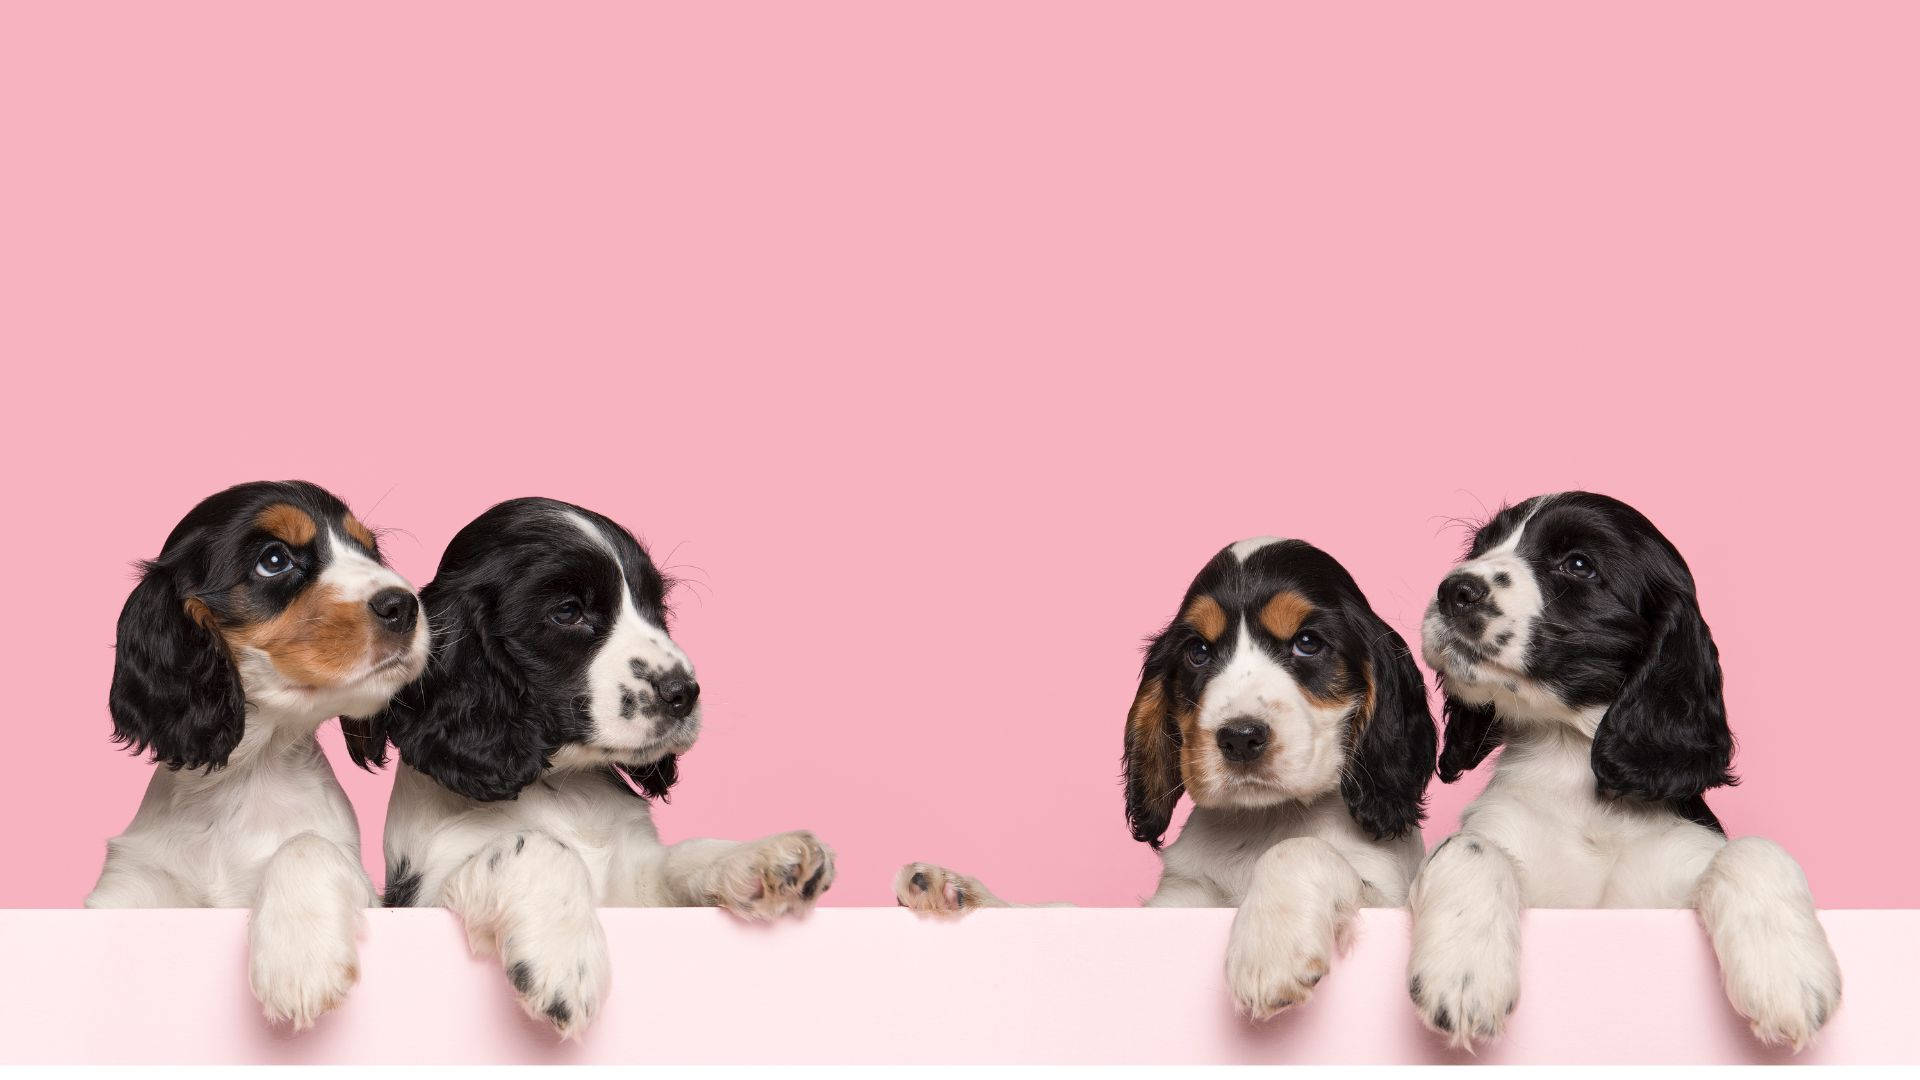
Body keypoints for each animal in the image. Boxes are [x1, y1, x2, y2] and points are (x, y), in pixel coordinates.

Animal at [88, 478, 426, 1022]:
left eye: (370, 551)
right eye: (274, 560)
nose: (405, 605)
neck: (246, 776)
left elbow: (306, 845)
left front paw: (299, 964)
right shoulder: (127, 890)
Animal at [357, 495, 837, 1037]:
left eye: (656, 608)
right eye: (568, 611)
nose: (683, 693)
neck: (561, 785)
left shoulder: (636, 888)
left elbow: (682, 857)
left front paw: (767, 856)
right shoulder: (422, 897)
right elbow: (535, 845)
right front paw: (564, 962)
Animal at [890, 538, 1436, 1014]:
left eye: (1307, 643)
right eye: (1197, 651)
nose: (1240, 737)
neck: (1264, 822)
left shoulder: (1384, 897)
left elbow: (1300, 849)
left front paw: (1267, 950)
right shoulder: (1175, 906)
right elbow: (1066, 912)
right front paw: (961, 892)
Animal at [1413, 491, 1843, 1045]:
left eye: (1578, 565)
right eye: (1481, 547)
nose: (1455, 589)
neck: (1573, 763)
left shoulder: (1675, 870)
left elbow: (1755, 849)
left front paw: (1788, 975)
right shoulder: (1495, 833)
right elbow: (1469, 847)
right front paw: (1464, 977)